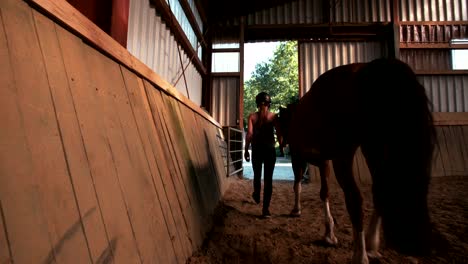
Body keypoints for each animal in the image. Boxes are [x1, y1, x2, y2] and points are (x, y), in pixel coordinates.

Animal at [278, 58, 436, 264]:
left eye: (278, 122)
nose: (281, 143)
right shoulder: (324, 161)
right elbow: (324, 193)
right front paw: (329, 233)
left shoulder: (306, 158)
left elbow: (299, 185)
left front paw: (297, 211)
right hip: (373, 149)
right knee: (380, 190)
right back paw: (370, 243)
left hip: (347, 156)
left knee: (355, 198)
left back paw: (361, 254)